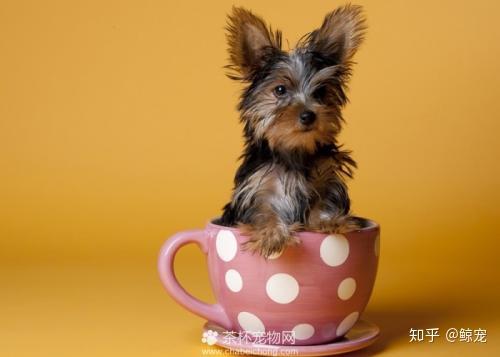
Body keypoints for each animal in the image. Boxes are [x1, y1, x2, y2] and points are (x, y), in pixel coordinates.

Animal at [219, 4, 368, 258]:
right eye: (280, 90)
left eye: (320, 92)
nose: (308, 115)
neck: (293, 150)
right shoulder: (256, 188)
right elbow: (263, 211)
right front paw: (272, 234)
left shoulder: (326, 179)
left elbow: (322, 201)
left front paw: (329, 220)